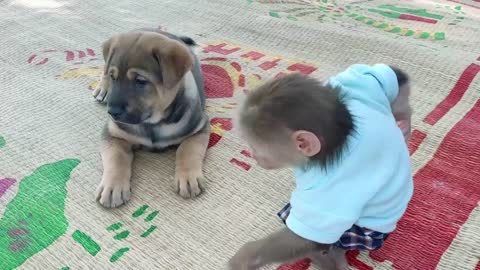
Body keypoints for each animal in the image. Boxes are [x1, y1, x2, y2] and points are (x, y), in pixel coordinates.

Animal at [93, 28, 209, 208]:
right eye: (114, 78)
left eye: (140, 81)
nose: (112, 112)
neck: (153, 124)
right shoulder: (113, 134)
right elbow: (116, 158)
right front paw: (112, 187)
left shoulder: (200, 128)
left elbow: (188, 149)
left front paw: (188, 177)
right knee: (104, 68)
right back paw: (103, 88)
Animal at [229, 64, 412, 268]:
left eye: (256, 148)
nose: (254, 157)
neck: (343, 139)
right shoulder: (356, 94)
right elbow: (380, 73)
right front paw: (405, 119)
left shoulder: (329, 190)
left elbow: (307, 236)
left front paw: (244, 258)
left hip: (359, 235)